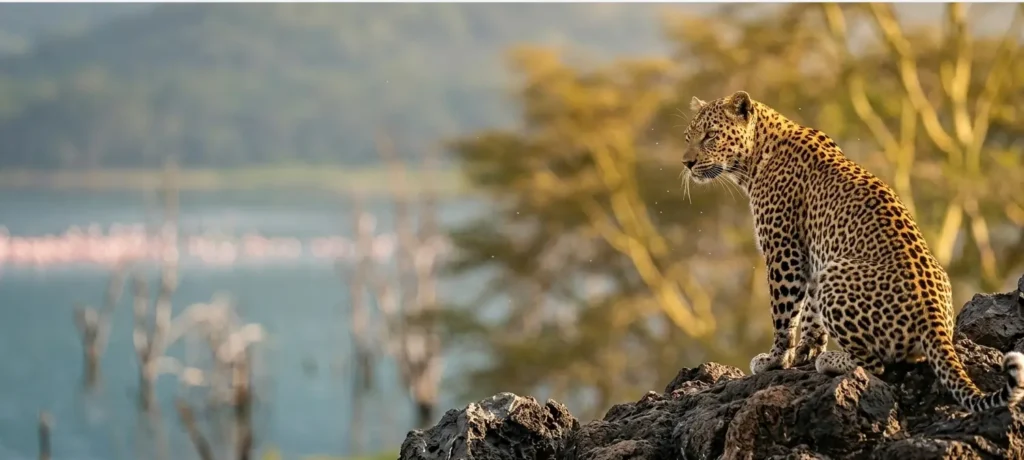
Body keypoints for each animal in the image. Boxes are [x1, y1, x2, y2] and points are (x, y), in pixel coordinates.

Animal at [679, 90, 1024, 412]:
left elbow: (783, 313)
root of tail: (934, 318)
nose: (687, 163)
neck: (755, 157)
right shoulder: (812, 257)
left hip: (836, 275)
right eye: (688, 136)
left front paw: (776, 359)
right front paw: (807, 350)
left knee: (877, 365)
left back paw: (833, 360)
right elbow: (810, 314)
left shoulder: (784, 252)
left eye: (710, 135)